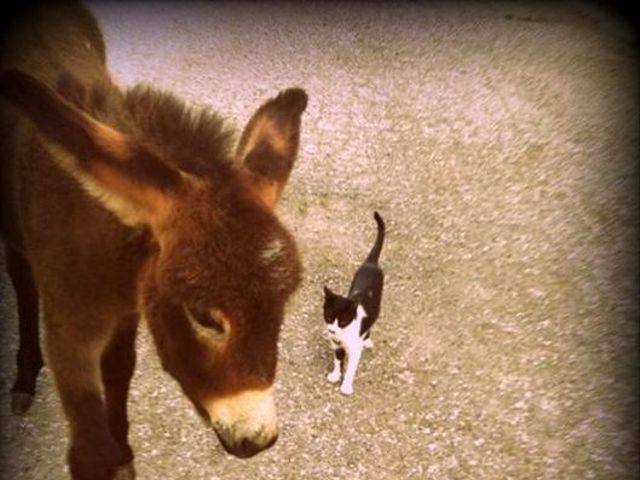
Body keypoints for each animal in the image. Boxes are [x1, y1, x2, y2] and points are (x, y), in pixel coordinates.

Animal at [322, 212, 382, 396]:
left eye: (342, 321)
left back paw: (367, 340)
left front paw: (346, 386)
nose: (332, 330)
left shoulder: (355, 349)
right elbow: (337, 359)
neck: (343, 335)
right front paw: (335, 375)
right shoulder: (336, 344)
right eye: (328, 317)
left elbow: (350, 368)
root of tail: (371, 263)